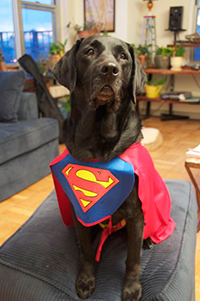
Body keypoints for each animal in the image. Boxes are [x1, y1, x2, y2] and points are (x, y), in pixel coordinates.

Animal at [54, 36, 148, 298]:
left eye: (123, 57)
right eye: (89, 52)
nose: (109, 69)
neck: (97, 139)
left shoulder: (135, 212)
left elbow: (133, 258)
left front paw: (131, 288)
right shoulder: (80, 210)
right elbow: (87, 252)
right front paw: (86, 280)